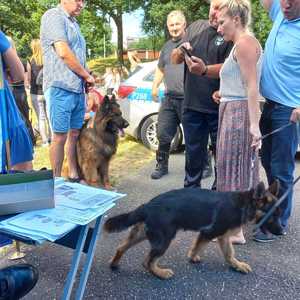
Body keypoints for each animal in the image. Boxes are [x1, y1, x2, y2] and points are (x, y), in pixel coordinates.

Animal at [104, 179, 282, 280]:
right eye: (272, 216)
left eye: (279, 214)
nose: (282, 232)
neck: (243, 204)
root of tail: (147, 206)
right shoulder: (209, 233)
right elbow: (207, 247)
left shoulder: (222, 236)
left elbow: (228, 253)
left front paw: (236, 265)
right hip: (164, 240)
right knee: (147, 261)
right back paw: (161, 273)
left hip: (141, 234)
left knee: (121, 247)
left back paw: (114, 264)